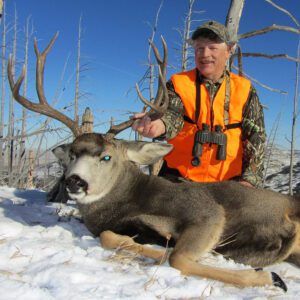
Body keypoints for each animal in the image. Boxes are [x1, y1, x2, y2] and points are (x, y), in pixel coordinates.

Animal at [6, 32, 300, 290]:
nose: (74, 181)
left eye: (106, 156)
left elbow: (178, 258)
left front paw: (269, 277)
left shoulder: (207, 211)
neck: (130, 201)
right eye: (71, 154)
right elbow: (111, 237)